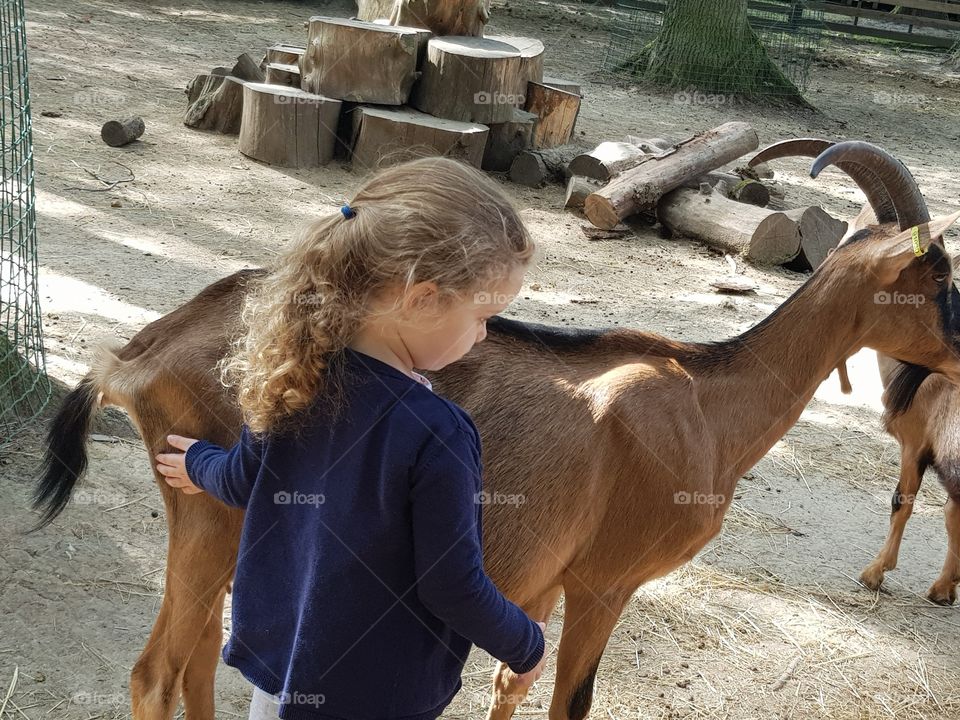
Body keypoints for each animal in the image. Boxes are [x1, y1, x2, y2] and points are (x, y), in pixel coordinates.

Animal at [749, 139, 960, 605]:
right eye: (940, 272)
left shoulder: (917, 445)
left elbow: (905, 502)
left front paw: (875, 574)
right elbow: (941, 513)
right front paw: (942, 588)